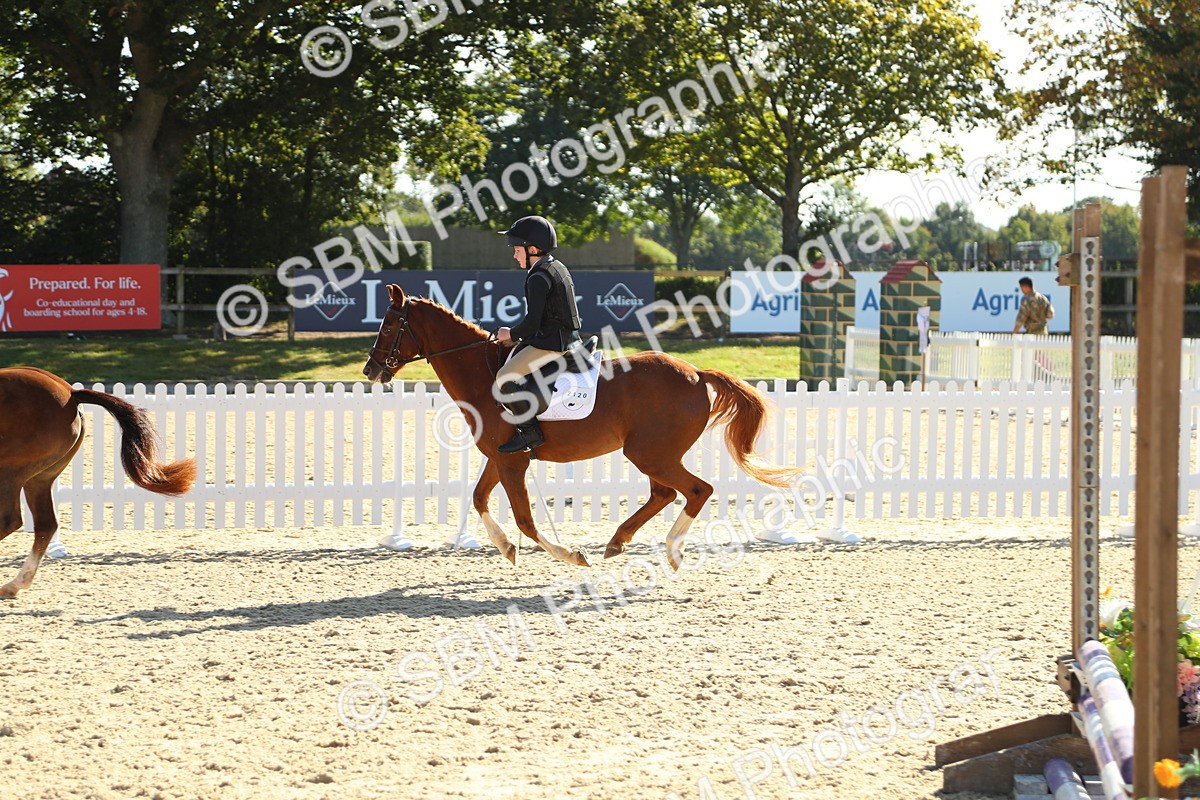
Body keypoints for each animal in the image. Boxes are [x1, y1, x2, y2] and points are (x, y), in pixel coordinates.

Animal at [0, 367, 196, 597]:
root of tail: (70, 393)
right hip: (39, 478)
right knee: (45, 525)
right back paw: (15, 584)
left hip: (10, 471)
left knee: (10, 521)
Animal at [362, 284, 800, 570]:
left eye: (388, 326)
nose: (370, 370)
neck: (481, 373)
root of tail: (695, 373)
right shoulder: (501, 458)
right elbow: (479, 498)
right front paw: (506, 548)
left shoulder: (513, 463)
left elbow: (525, 520)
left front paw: (570, 555)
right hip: (652, 454)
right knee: (664, 494)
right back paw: (618, 542)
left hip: (650, 454)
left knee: (696, 490)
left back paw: (672, 551)